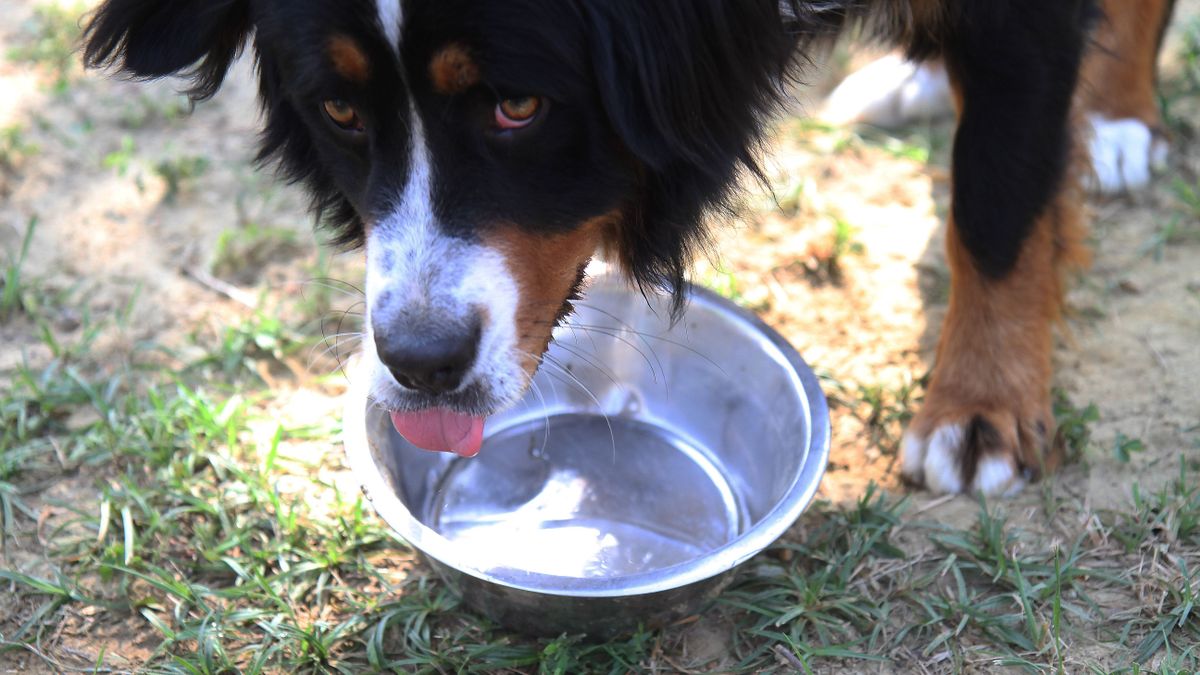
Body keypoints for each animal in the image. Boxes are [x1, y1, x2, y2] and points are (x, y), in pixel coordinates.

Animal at [87, 0, 1180, 494]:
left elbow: (997, 206)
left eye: (519, 106)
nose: (421, 362)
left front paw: (980, 407)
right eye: (342, 111)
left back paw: (1117, 117)